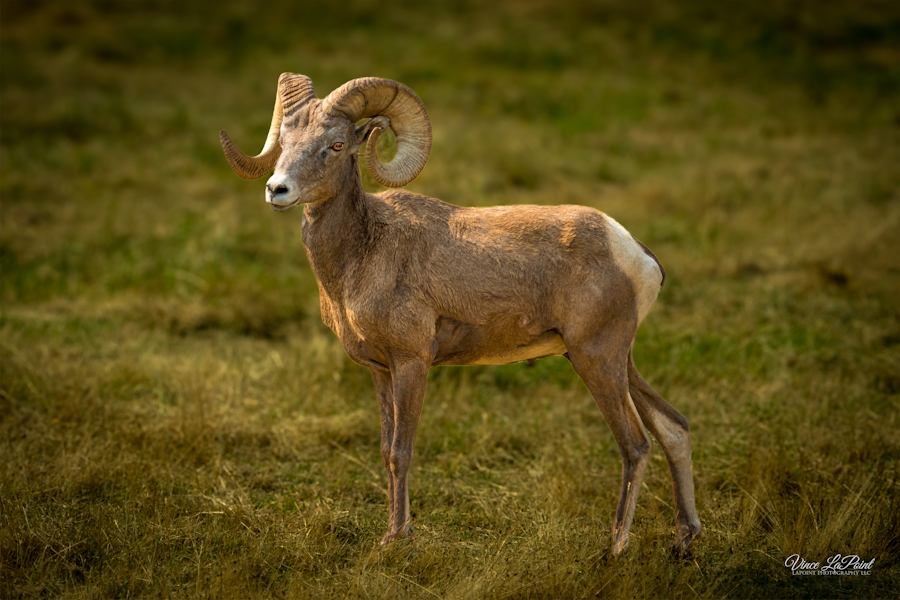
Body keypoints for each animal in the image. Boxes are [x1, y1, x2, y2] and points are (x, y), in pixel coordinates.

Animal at [220, 73, 702, 556]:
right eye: (285, 141)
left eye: (336, 145)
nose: (277, 190)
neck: (363, 252)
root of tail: (635, 253)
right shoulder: (380, 370)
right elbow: (385, 450)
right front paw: (392, 534)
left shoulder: (411, 363)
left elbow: (401, 452)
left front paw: (397, 539)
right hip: (616, 361)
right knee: (673, 428)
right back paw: (685, 539)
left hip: (596, 359)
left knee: (636, 445)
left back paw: (616, 548)